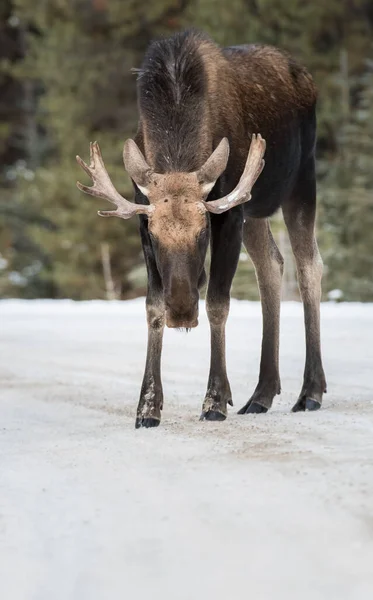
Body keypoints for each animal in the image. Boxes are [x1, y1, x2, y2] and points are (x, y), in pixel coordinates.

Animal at [76, 30, 326, 428]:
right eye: (155, 236)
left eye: (202, 232)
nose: (181, 310)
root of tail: (305, 76)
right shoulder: (144, 215)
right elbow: (152, 306)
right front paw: (148, 407)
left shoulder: (229, 213)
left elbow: (218, 304)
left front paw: (214, 400)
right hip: (256, 207)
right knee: (271, 266)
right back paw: (261, 394)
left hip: (302, 178)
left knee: (308, 267)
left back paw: (310, 392)